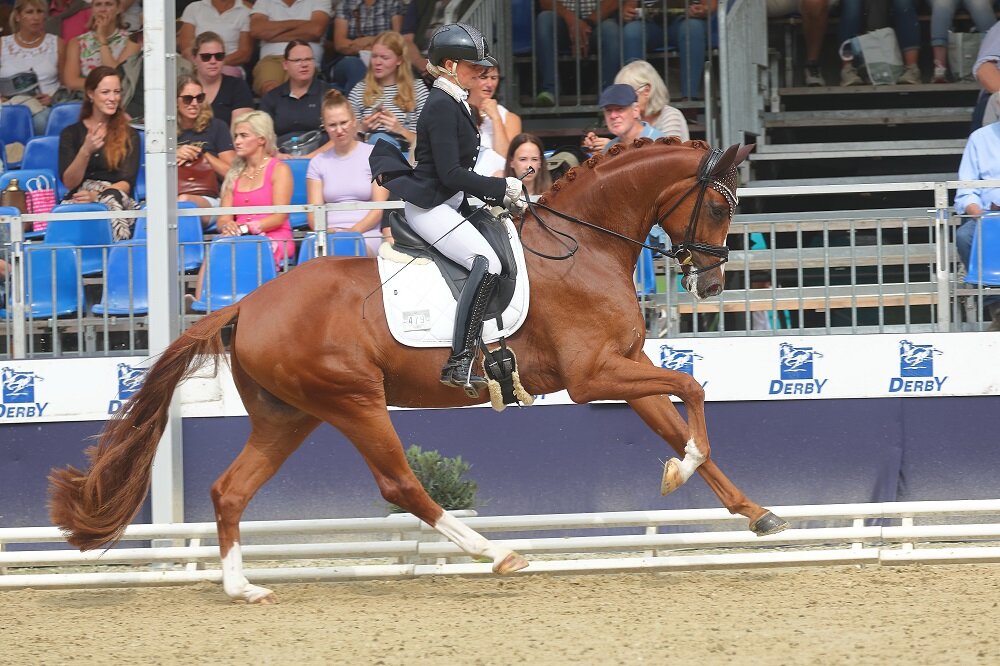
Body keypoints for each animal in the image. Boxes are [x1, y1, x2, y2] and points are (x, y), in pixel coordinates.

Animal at [49, 137, 788, 604]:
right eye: (719, 206)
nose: (712, 284)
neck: (585, 246)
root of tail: (245, 304)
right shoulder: (594, 375)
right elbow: (691, 390)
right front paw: (683, 469)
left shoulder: (624, 365)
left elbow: (675, 415)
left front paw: (754, 513)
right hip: (353, 403)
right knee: (401, 484)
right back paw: (495, 553)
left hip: (291, 416)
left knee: (231, 490)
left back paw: (241, 586)